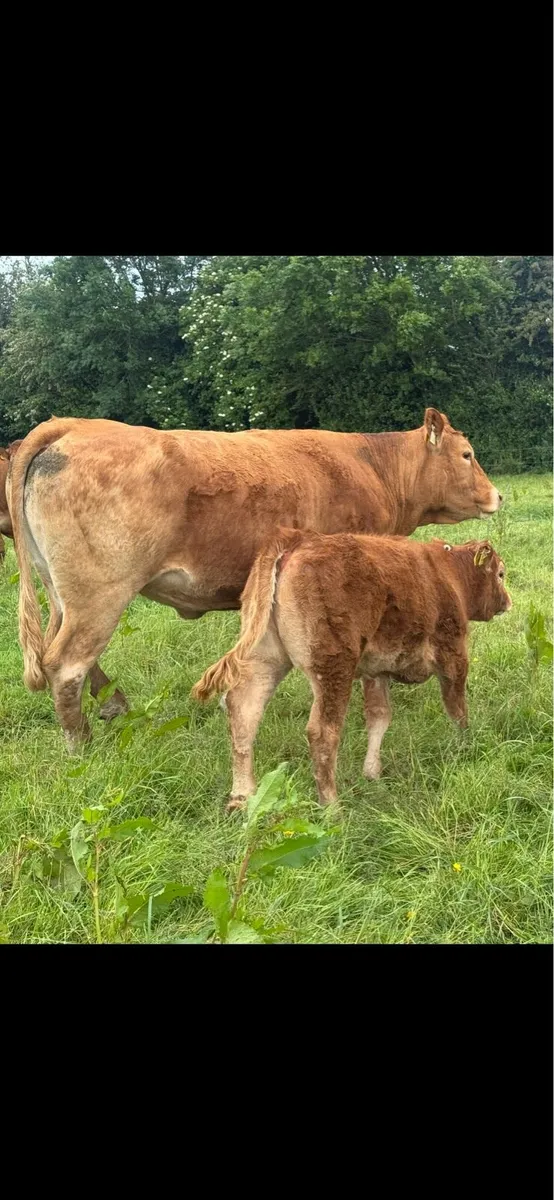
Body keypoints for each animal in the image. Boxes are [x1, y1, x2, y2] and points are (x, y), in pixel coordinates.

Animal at [7, 409, 502, 747]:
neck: (374, 467)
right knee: (66, 664)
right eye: (468, 455)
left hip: (64, 593)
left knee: (58, 654)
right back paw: (81, 744)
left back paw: (113, 706)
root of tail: (74, 426)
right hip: (101, 593)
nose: (498, 494)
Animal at [192, 531, 511, 808]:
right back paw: (332, 807)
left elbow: (379, 717)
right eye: (501, 573)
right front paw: (466, 745)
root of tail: (297, 539)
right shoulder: (453, 655)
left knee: (244, 711)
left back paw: (242, 797)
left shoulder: (376, 671)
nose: (508, 603)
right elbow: (457, 708)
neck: (448, 574)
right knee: (322, 733)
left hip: (265, 658)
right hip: (333, 667)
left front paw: (372, 772)